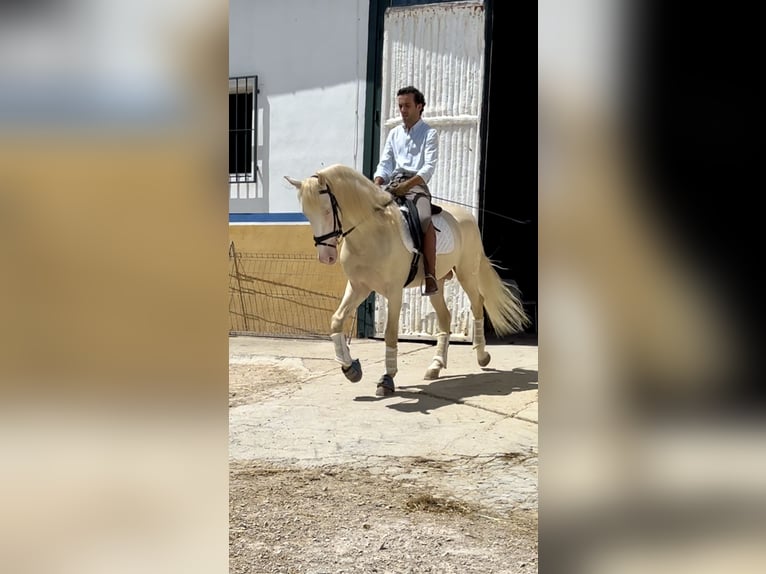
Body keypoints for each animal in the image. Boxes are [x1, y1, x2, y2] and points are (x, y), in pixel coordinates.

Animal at [284, 162, 532, 396]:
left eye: (327, 211)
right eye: (307, 214)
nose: (326, 257)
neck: (371, 234)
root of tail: (467, 216)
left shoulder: (393, 291)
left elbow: (390, 334)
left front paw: (387, 379)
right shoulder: (358, 287)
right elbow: (336, 320)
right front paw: (350, 368)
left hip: (466, 273)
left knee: (477, 304)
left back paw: (482, 357)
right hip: (437, 283)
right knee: (445, 317)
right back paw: (435, 366)